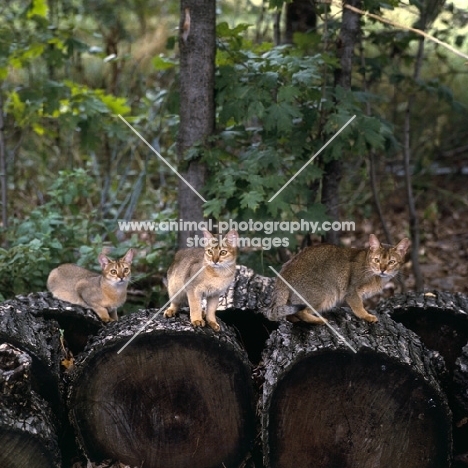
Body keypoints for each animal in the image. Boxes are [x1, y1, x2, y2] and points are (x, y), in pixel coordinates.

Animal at [268, 234, 408, 326]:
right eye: (377, 260)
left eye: (391, 262)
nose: (382, 270)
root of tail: (283, 274)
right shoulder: (352, 292)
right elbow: (358, 306)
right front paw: (367, 316)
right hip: (325, 294)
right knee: (300, 312)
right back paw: (319, 320)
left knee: (291, 315)